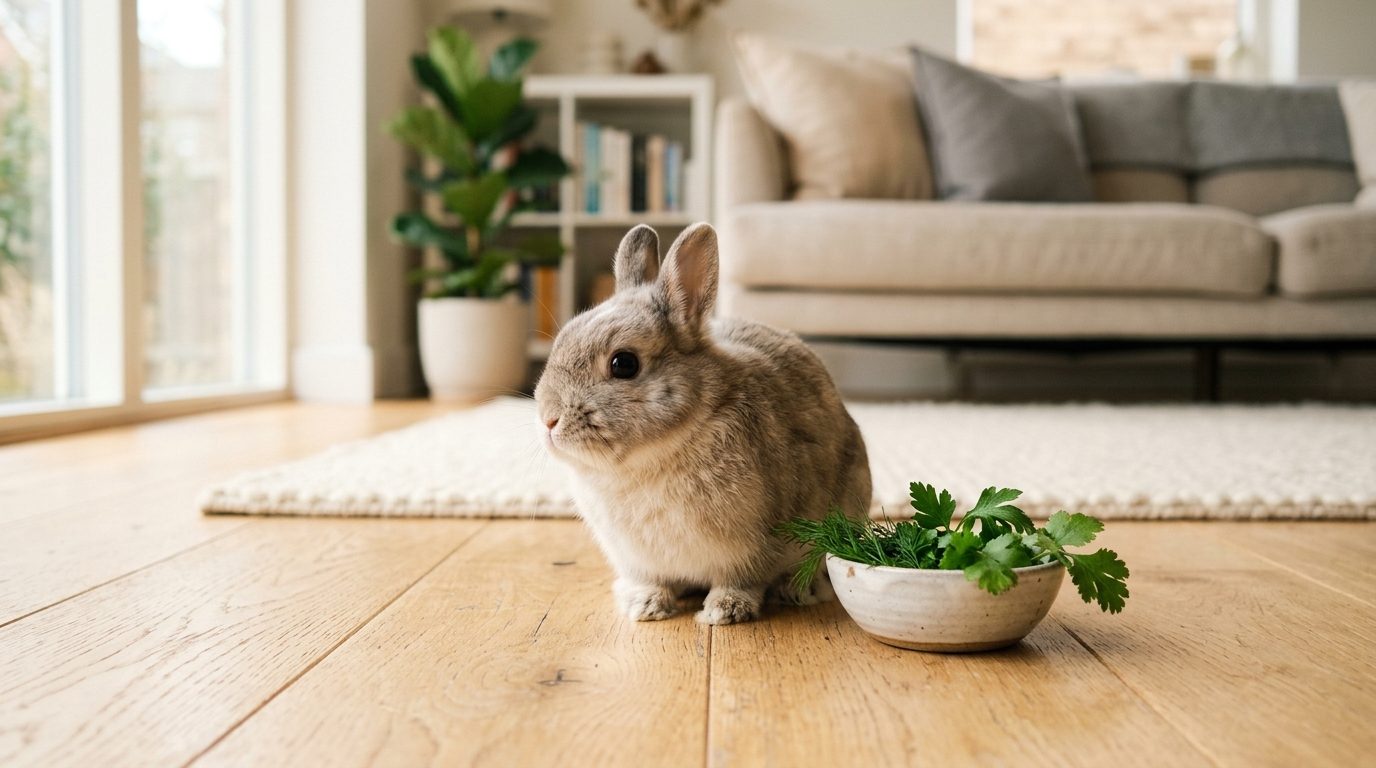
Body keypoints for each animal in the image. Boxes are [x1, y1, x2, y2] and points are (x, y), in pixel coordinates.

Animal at [533, 222, 872, 625]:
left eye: (624, 364)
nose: (548, 418)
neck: (652, 457)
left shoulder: (752, 547)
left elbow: (742, 581)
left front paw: (724, 611)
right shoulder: (638, 560)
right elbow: (651, 581)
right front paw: (645, 606)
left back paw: (797, 591)